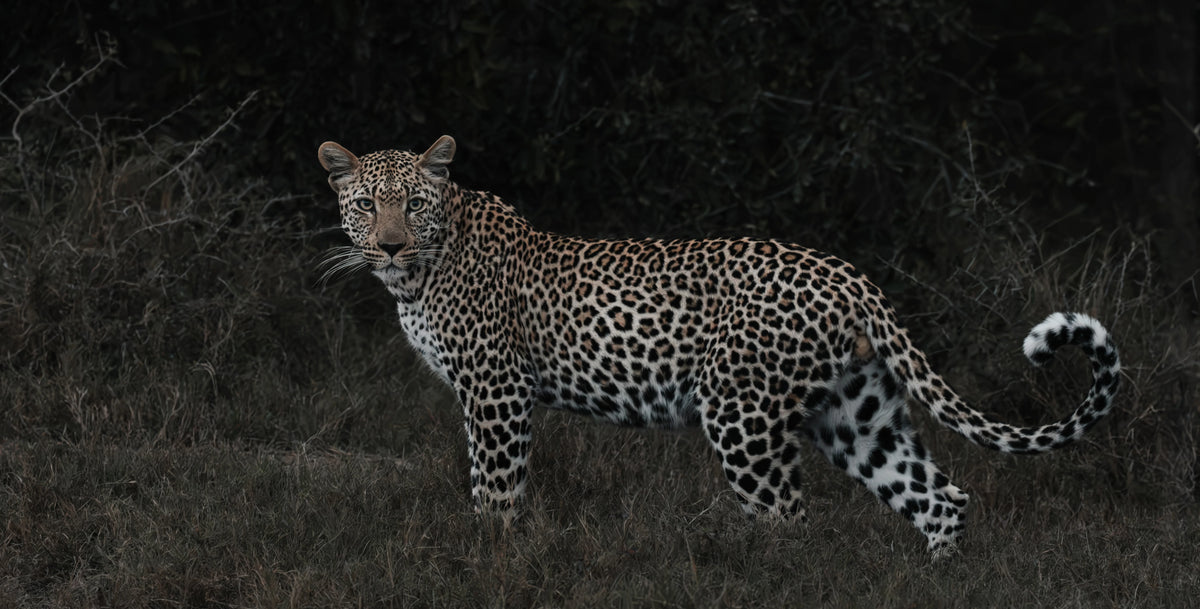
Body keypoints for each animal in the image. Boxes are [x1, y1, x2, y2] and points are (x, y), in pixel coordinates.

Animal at [316, 135, 1121, 557]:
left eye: (412, 203)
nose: (389, 244)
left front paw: (493, 554)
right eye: (367, 204)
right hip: (857, 415)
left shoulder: (496, 391)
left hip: (744, 416)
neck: (421, 272)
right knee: (941, 497)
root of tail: (850, 273)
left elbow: (497, 487)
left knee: (789, 521)